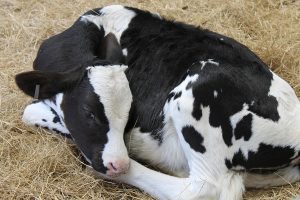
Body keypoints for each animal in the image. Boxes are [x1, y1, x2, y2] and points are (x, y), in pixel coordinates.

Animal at [15, 4, 300, 200]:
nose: (118, 164)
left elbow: (30, 111)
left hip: (198, 91)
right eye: (89, 113)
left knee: (206, 189)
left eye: (130, 116)